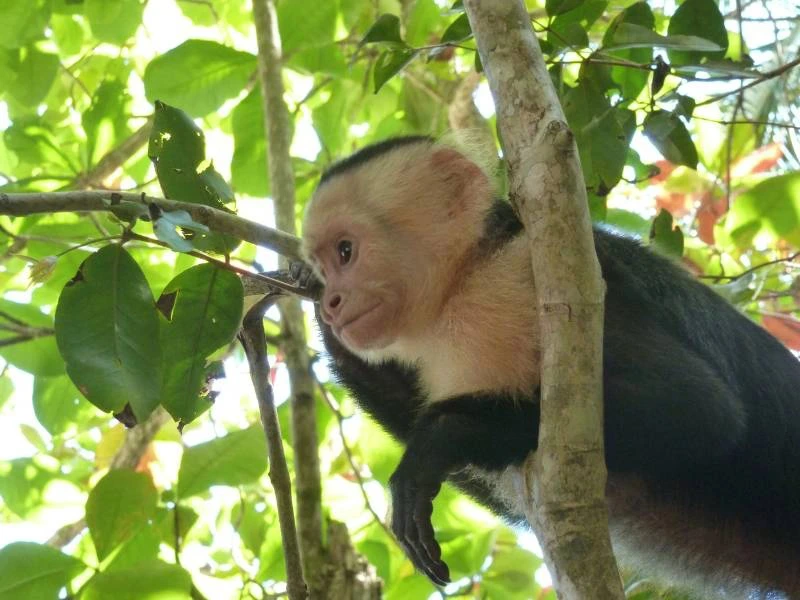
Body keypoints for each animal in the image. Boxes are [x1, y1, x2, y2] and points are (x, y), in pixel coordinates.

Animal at [299, 136, 800, 598]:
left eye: (346, 251)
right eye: (323, 265)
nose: (331, 303)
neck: (467, 282)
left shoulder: (548, 274)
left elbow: (699, 409)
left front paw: (436, 442)